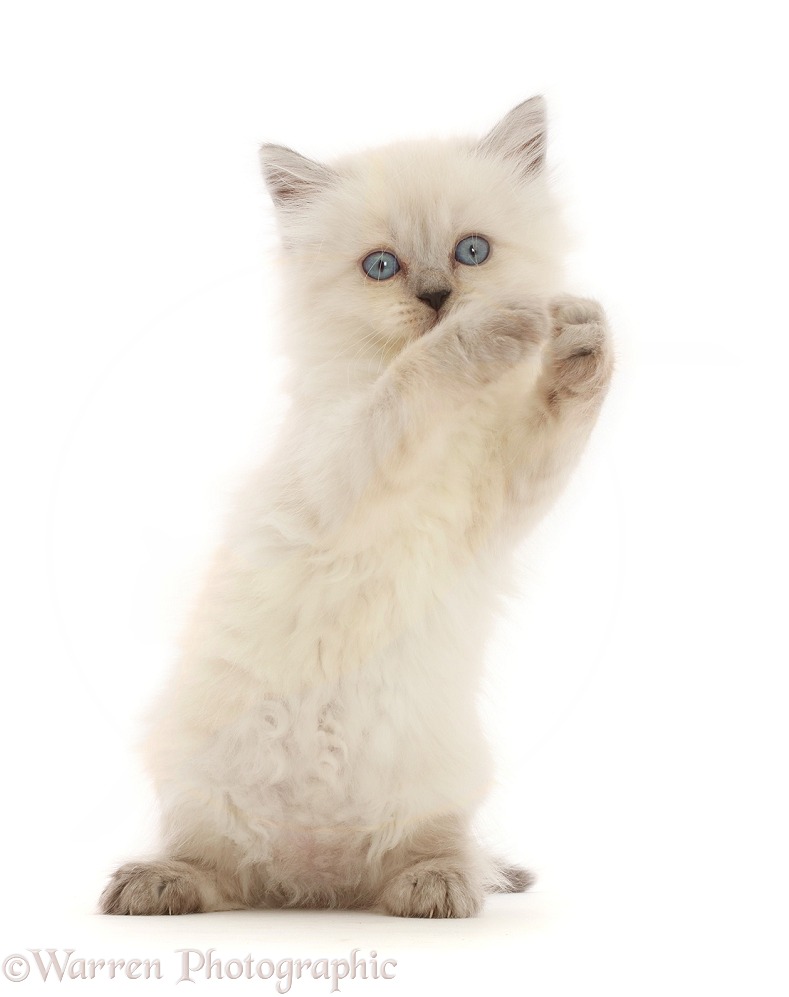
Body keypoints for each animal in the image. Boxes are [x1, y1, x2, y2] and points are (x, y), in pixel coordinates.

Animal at [98, 97, 612, 916]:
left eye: (471, 252)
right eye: (382, 267)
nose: (437, 298)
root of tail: (318, 883)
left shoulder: (504, 499)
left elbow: (562, 416)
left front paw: (582, 339)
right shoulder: (341, 470)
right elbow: (413, 379)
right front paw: (484, 332)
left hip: (442, 781)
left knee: (432, 852)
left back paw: (437, 885)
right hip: (197, 787)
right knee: (213, 866)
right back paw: (153, 882)